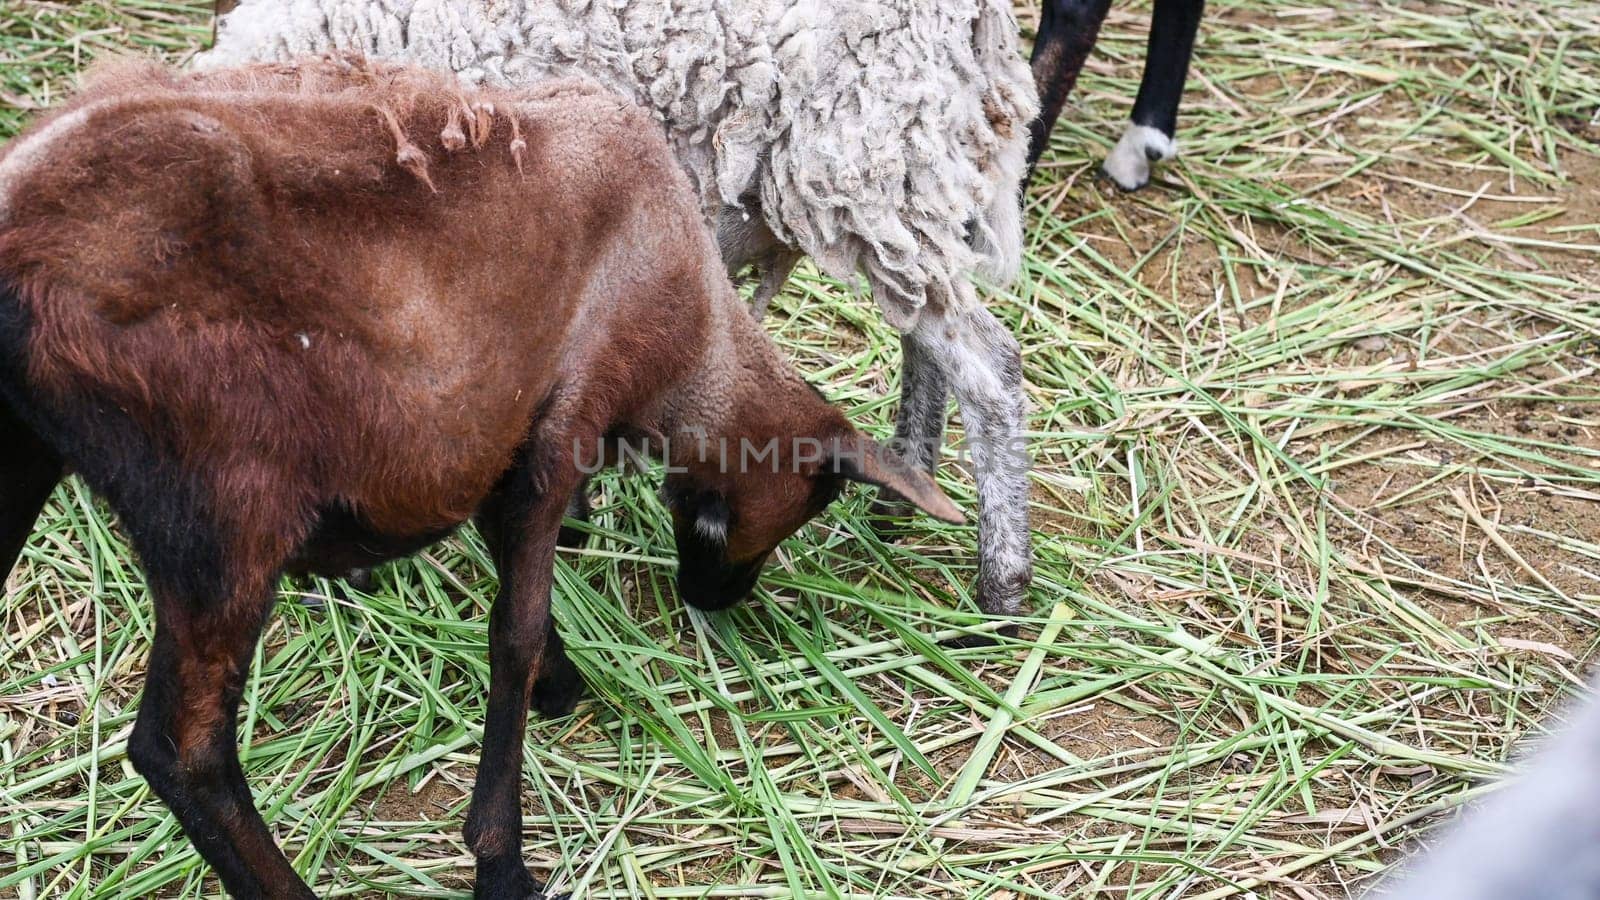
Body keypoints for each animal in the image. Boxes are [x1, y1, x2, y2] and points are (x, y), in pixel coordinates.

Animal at [206, 0, 1036, 614]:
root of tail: (979, 27)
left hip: (867, 169)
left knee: (988, 369)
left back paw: (1003, 585)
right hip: (905, 192)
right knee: (926, 342)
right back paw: (906, 489)